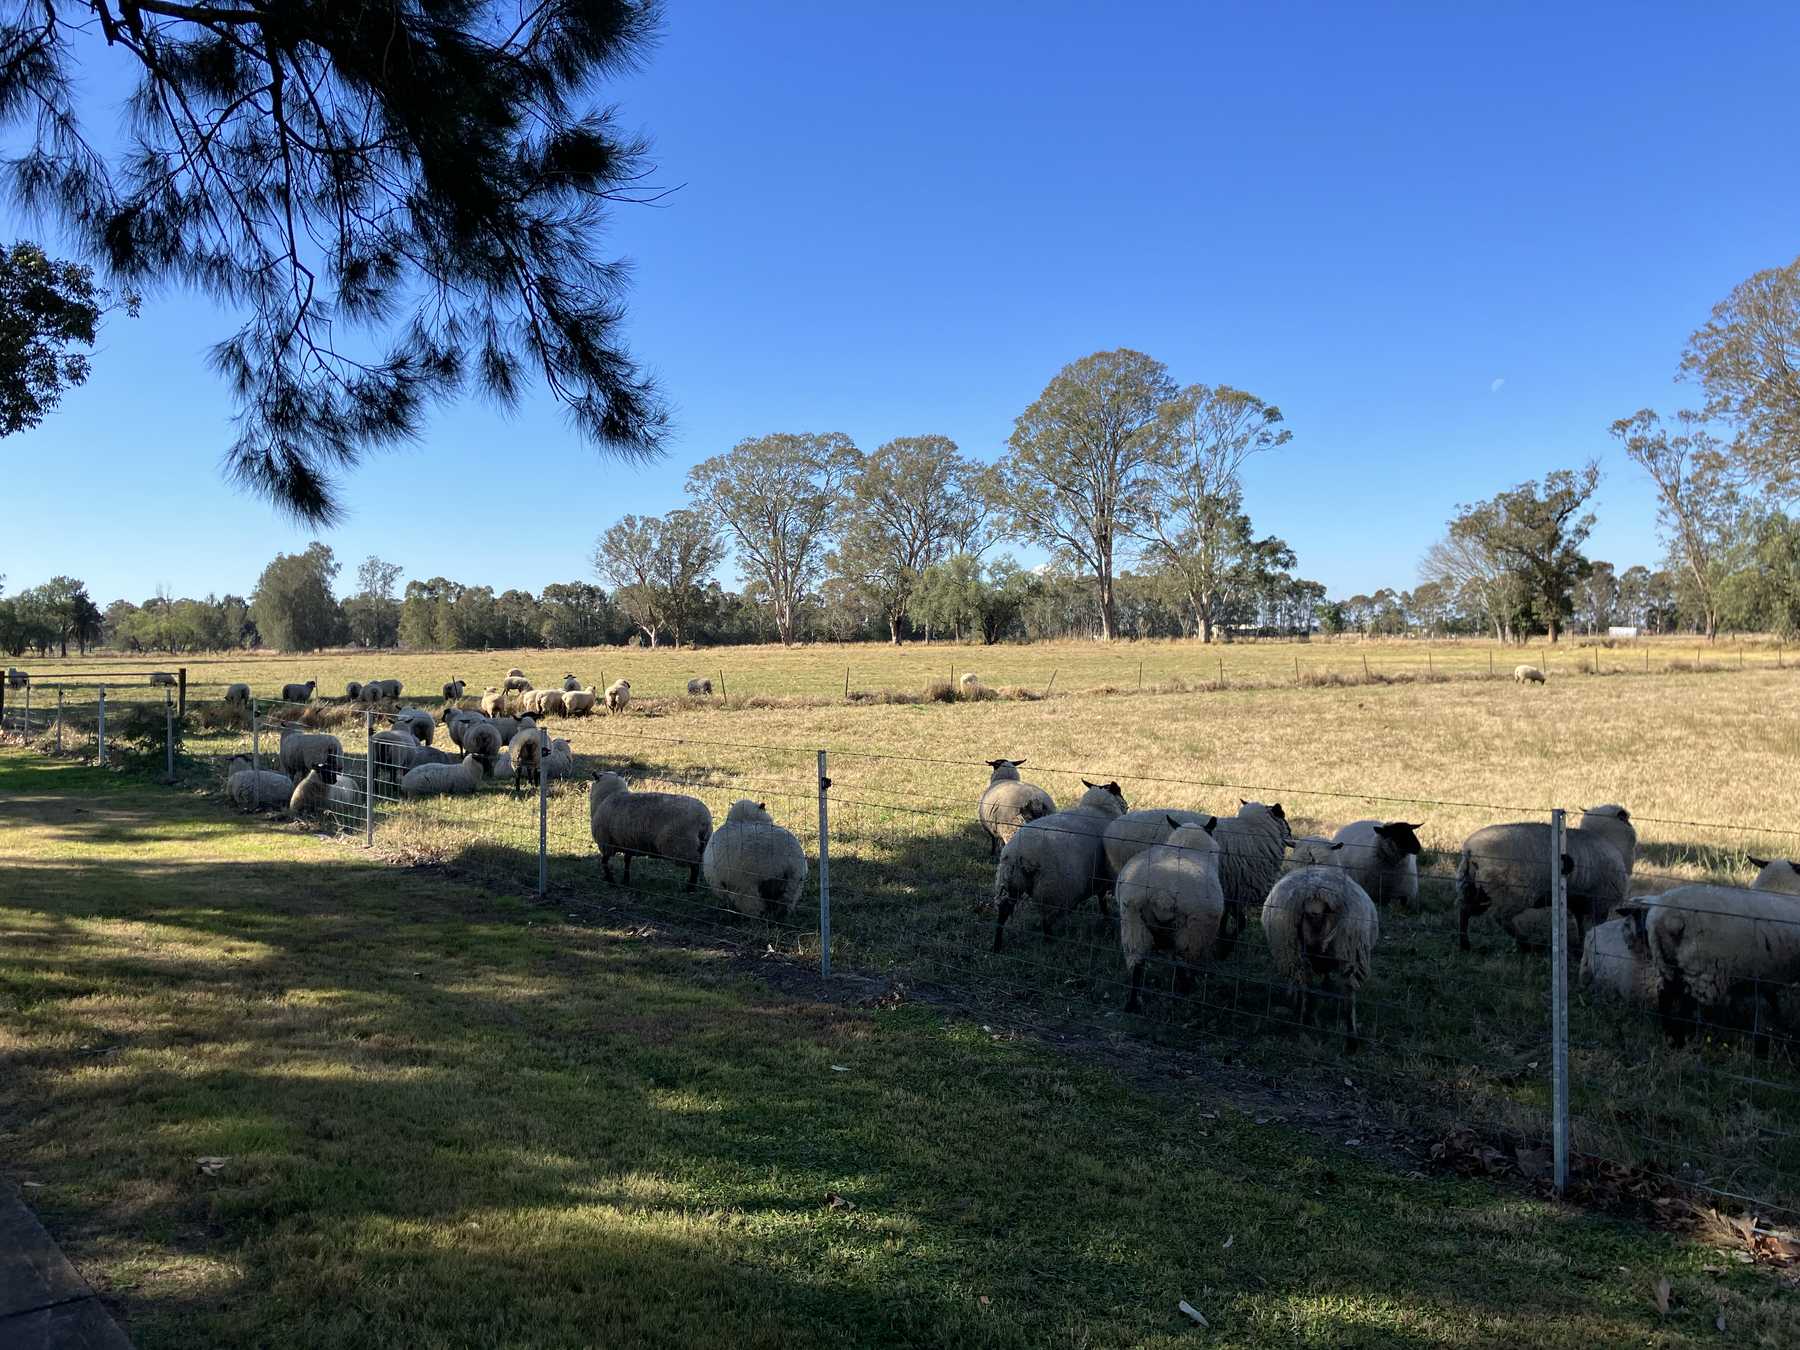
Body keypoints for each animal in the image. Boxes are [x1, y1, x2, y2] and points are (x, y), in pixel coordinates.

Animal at [993, 777, 1130, 957]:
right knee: (1046, 920)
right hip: (1051, 888)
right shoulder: (1103, 875)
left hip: (1009, 881)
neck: (1101, 810)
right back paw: (1050, 941)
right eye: (1120, 792)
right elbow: (1103, 901)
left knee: (1003, 911)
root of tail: (1019, 852)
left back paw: (997, 945)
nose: (1128, 806)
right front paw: (1108, 920)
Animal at [1116, 813, 1231, 1015]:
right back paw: (1185, 991)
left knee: (1137, 963)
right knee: (1184, 963)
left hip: (1132, 921)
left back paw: (1132, 1004)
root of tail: (1163, 894)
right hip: (1193, 931)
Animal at [1209, 802, 1296, 964]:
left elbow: (1230, 921)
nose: (1293, 837)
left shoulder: (1230, 891)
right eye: (1283, 816)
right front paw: (1224, 949)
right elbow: (1238, 923)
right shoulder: (1234, 889)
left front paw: (1221, 948)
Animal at [1267, 867, 1375, 1058]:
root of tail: (1316, 894)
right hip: (1349, 949)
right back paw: (1350, 1040)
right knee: (1348, 996)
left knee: (1308, 987)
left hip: (1297, 952)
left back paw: (1306, 1023)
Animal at [1454, 810, 1641, 957]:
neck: (1612, 841)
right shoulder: (1597, 904)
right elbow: (1591, 929)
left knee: (1464, 910)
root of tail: (1471, 849)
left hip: (1474, 888)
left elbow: (1582, 928)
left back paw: (1465, 944)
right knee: (1501, 918)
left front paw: (1581, 949)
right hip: (1512, 892)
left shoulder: (1580, 904)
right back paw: (1527, 946)